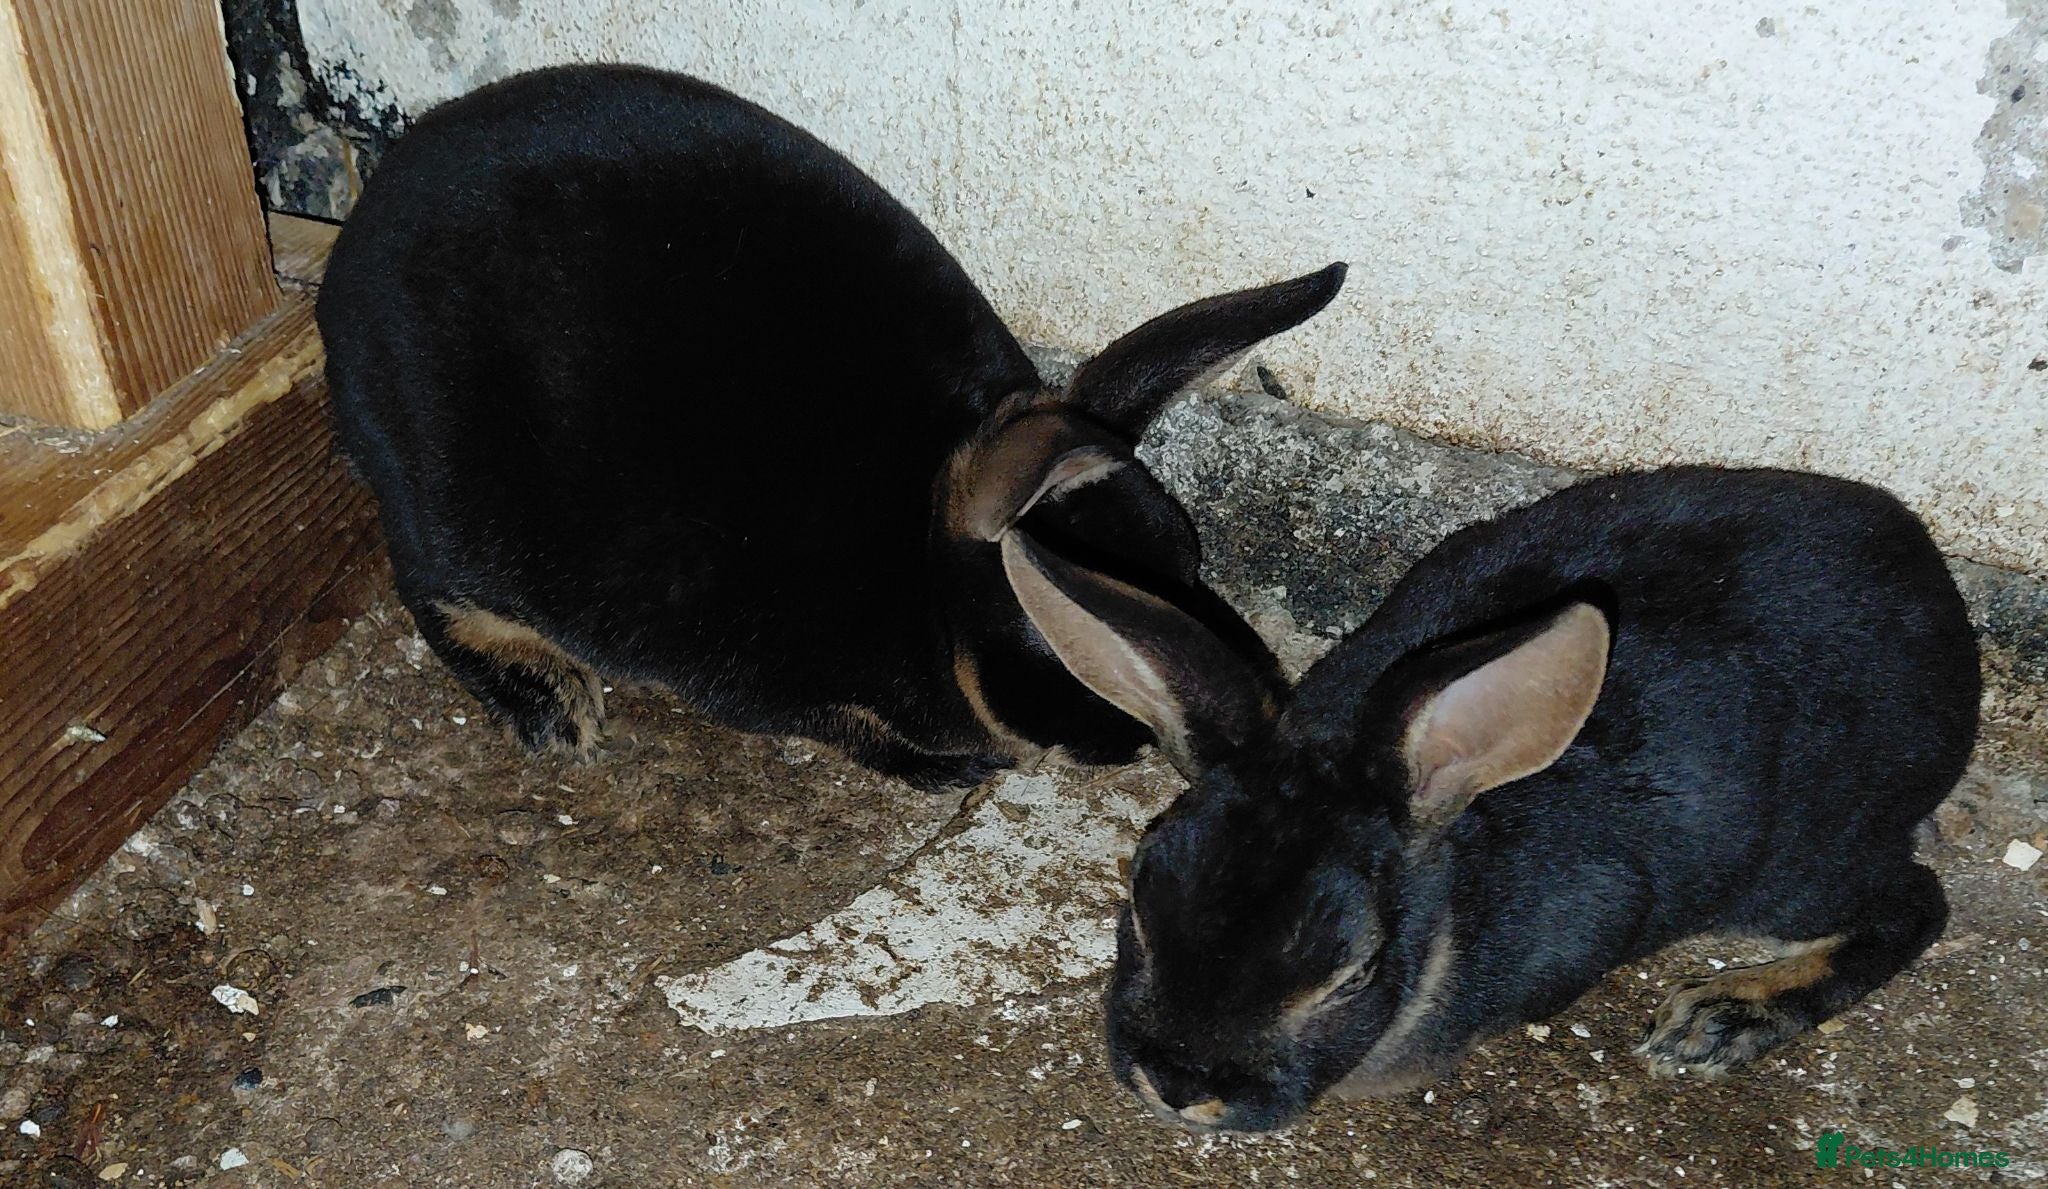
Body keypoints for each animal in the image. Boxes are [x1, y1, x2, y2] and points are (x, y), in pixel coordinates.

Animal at [316, 63, 1343, 790]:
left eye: (1192, 557)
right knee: (433, 590)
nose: (1129, 744)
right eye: (1055, 634)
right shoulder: (757, 669)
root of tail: (355, 242)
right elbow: (838, 725)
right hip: (448, 508)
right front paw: (949, 772)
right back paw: (557, 708)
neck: (917, 557)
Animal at [1000, 465, 1980, 1131]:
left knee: (1917, 903)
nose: (1179, 1087)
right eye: (1137, 901)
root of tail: (1944, 609)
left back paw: (1721, 1017)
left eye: (1353, 971)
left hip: (1796, 867)